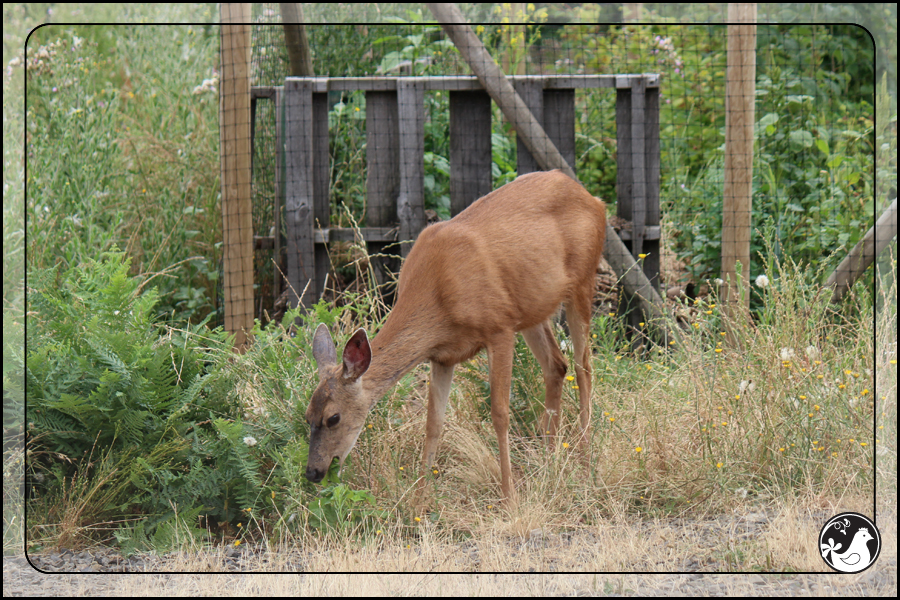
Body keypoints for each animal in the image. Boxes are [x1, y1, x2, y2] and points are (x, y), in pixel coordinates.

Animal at [306, 170, 608, 506]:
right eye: (307, 415)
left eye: (333, 417)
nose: (313, 472)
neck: (437, 294)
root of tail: (594, 199)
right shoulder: (442, 355)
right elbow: (433, 424)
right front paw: (419, 501)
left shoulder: (499, 327)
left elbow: (499, 413)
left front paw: (509, 497)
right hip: (532, 307)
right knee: (557, 365)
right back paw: (549, 458)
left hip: (582, 281)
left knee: (584, 368)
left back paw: (585, 462)